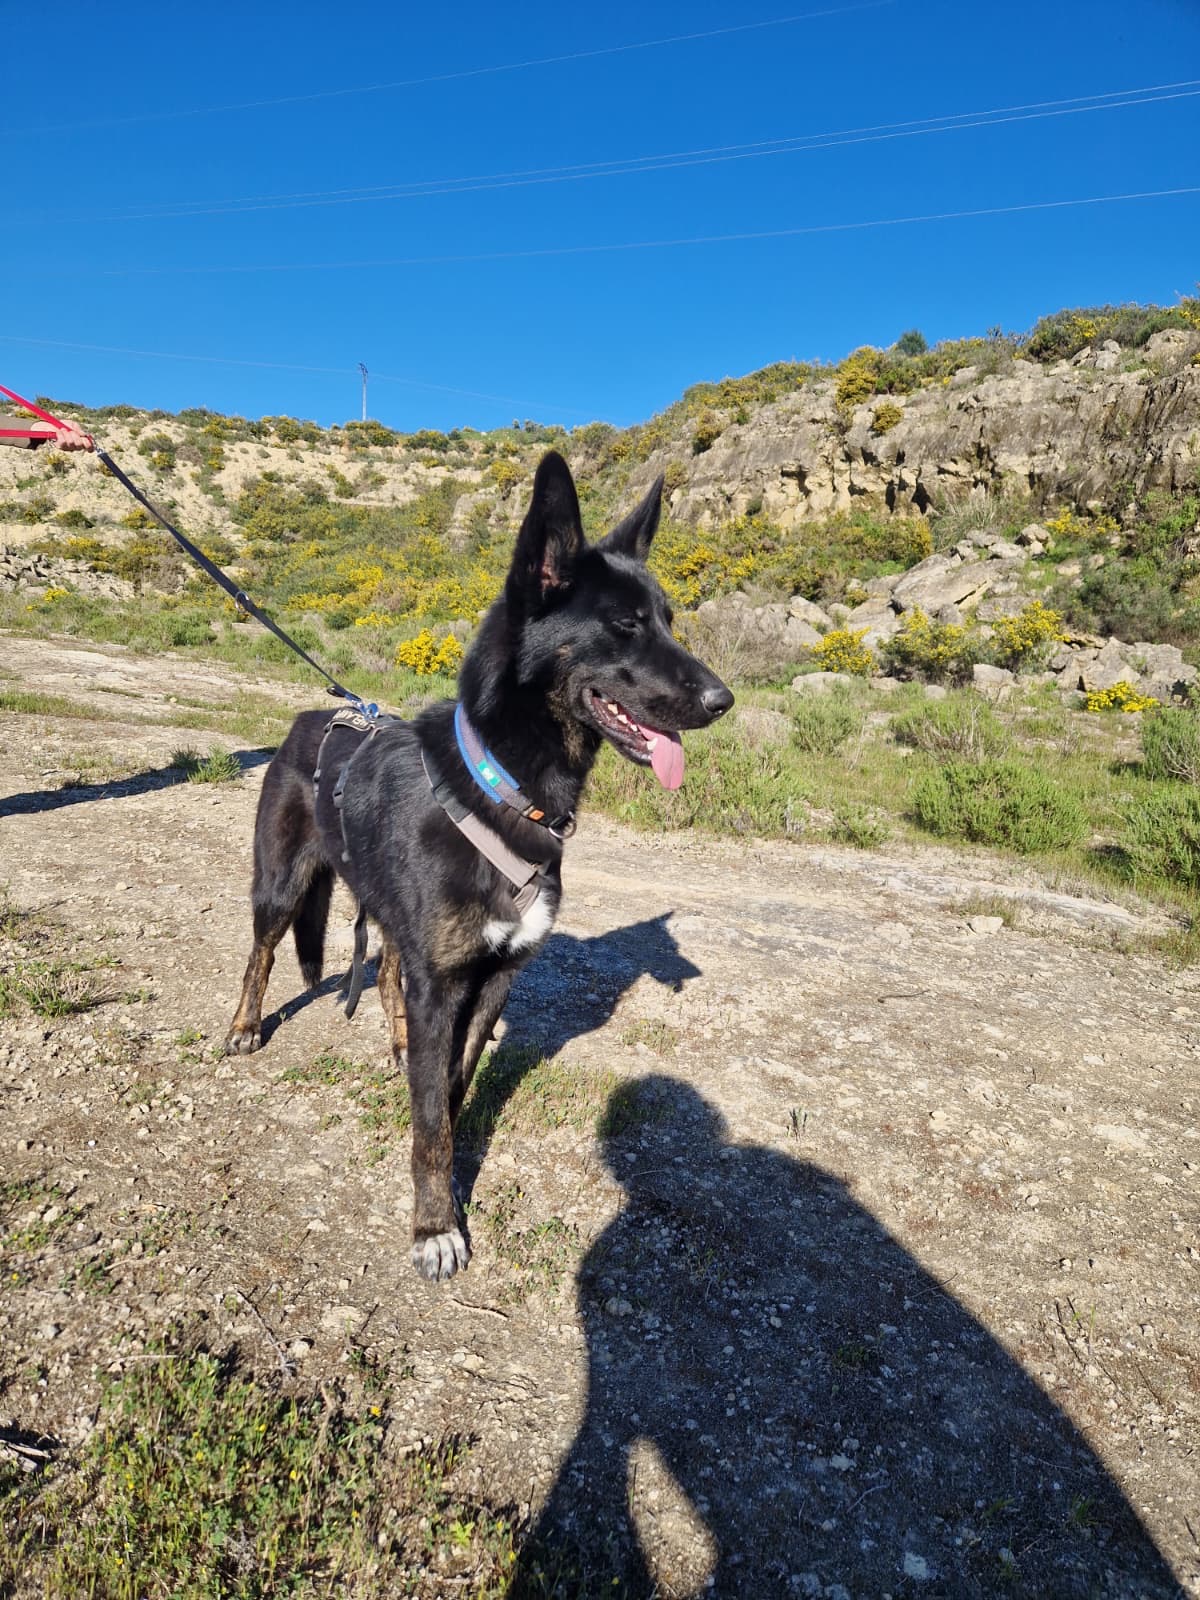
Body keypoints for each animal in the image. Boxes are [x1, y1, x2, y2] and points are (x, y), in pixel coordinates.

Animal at [223, 451, 733, 1280]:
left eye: (668, 620)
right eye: (626, 624)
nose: (725, 700)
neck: (510, 792)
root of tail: (313, 714)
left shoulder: (494, 979)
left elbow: (451, 1091)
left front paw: (445, 1142)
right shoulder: (444, 983)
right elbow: (431, 1120)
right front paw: (435, 1226)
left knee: (385, 973)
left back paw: (398, 1047)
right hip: (281, 884)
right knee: (262, 954)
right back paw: (243, 1027)